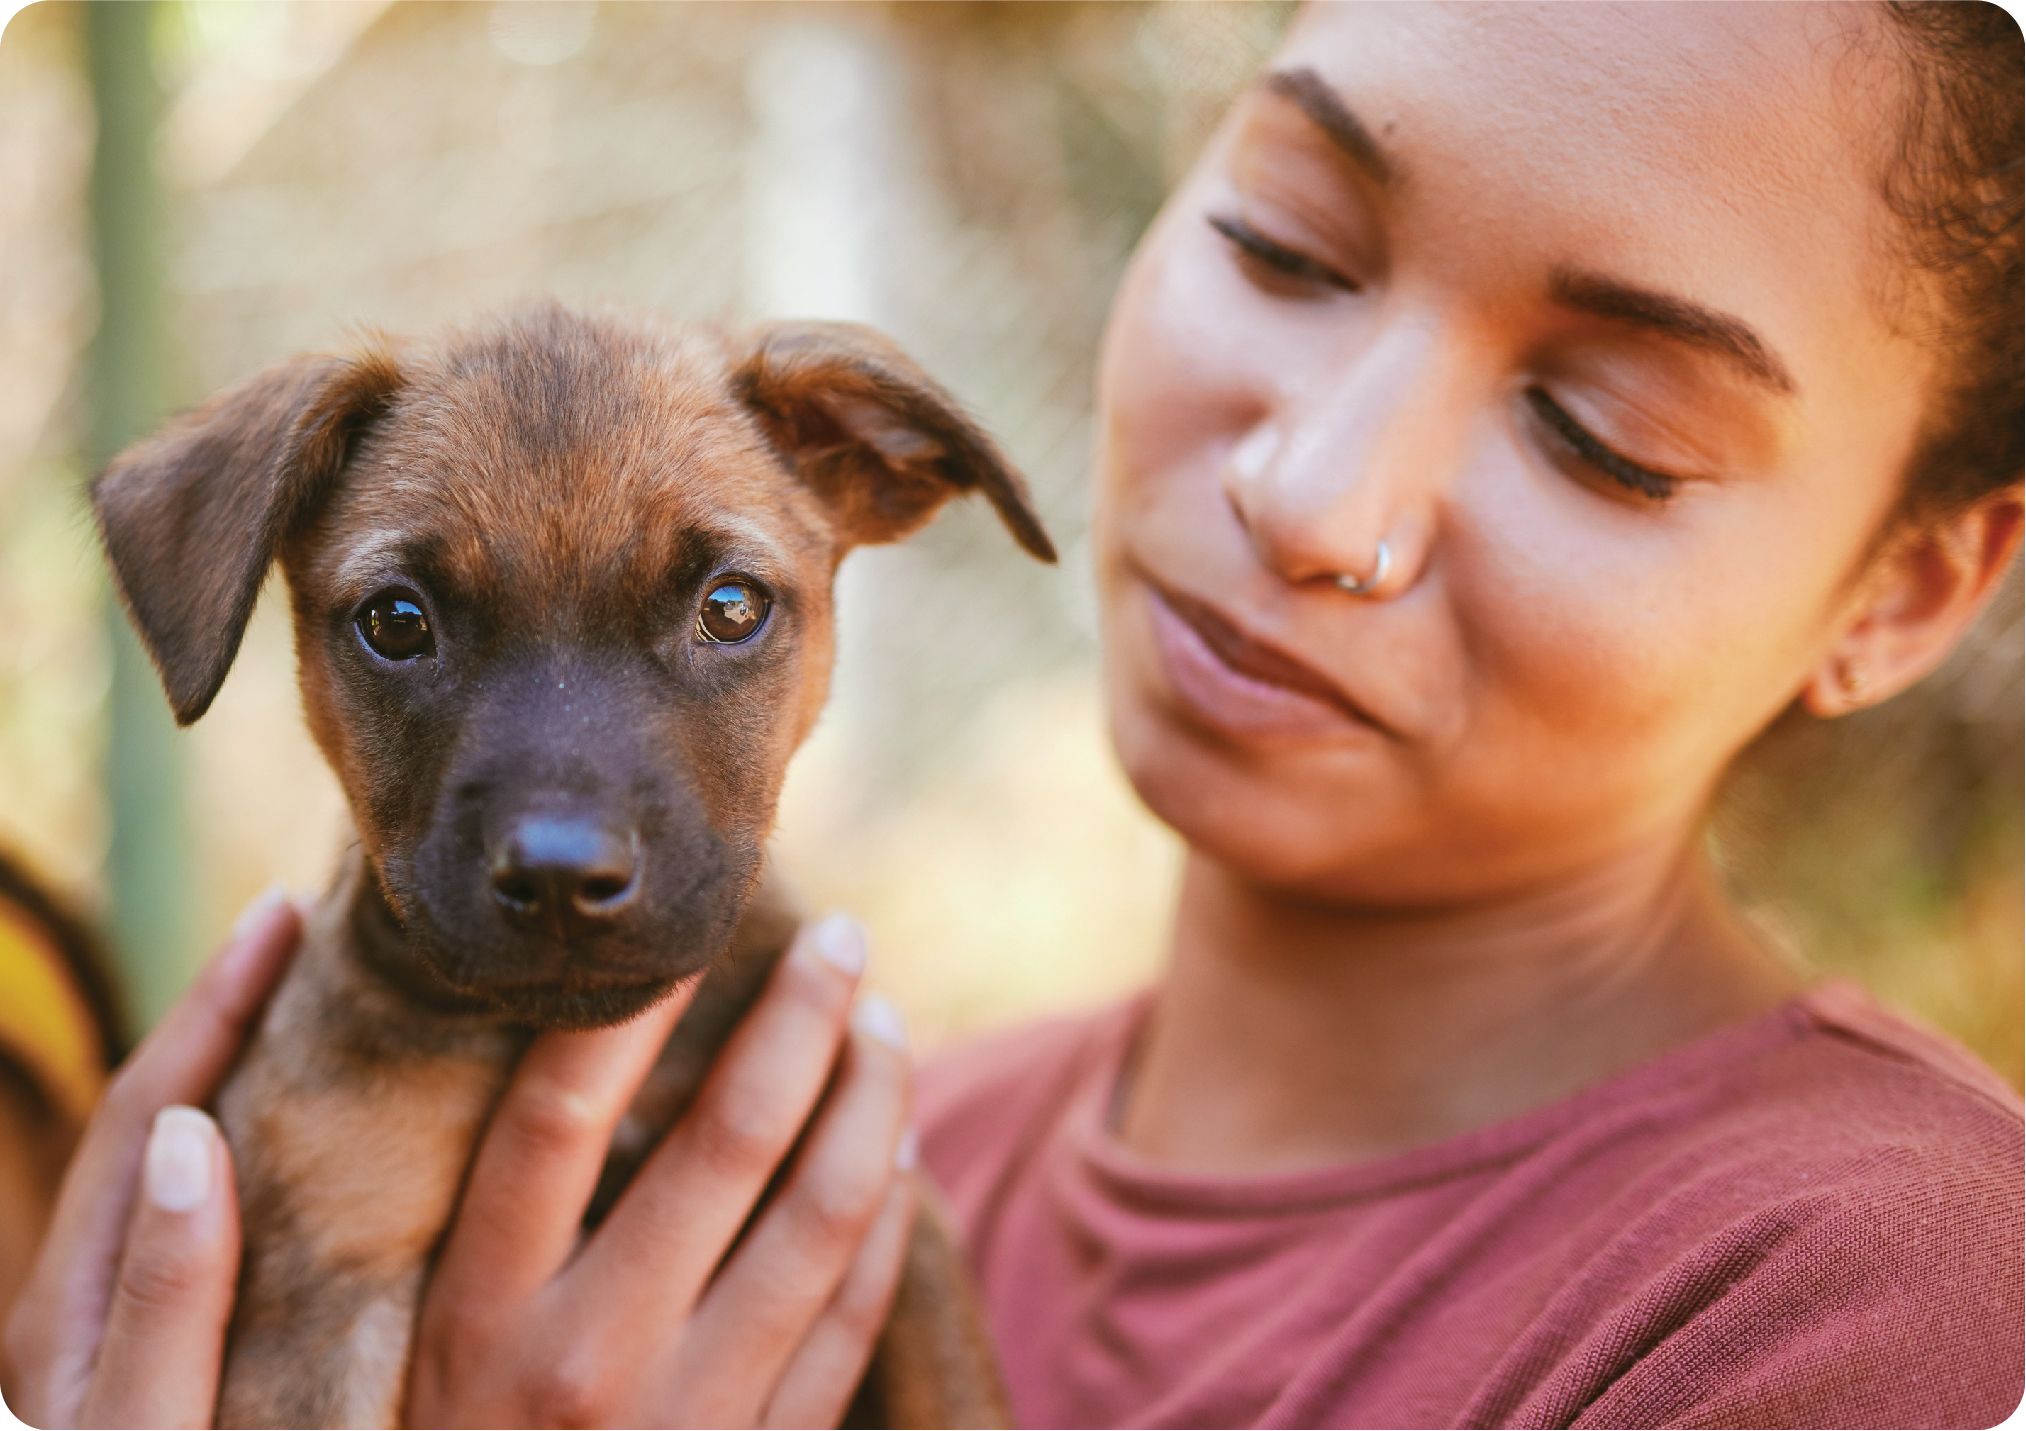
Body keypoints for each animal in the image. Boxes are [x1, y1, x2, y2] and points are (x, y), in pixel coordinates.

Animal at [89, 304, 1053, 1426]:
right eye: (397, 621)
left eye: (732, 606)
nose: (560, 879)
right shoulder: (325, 1281)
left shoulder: (904, 1232)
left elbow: (960, 1398)